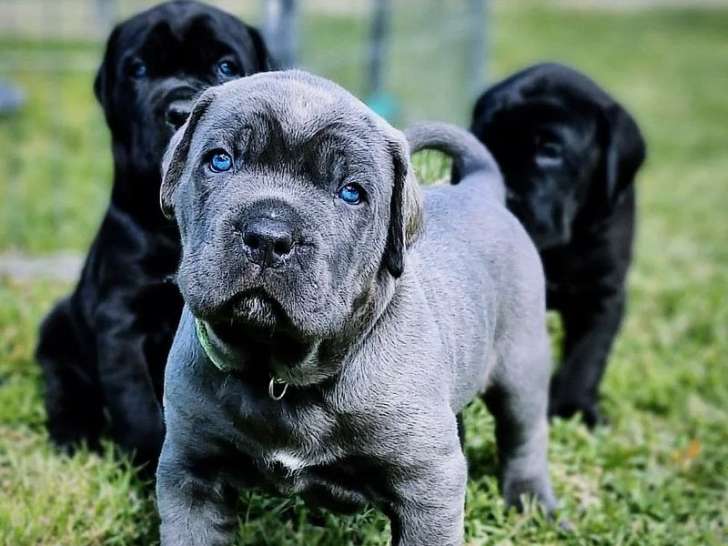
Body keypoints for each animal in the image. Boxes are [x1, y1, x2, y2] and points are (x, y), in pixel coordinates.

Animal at [35, 0, 272, 464]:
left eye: (225, 66)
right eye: (139, 69)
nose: (180, 112)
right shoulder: (122, 319)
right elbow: (138, 406)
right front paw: (148, 465)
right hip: (58, 333)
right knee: (66, 392)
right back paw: (75, 438)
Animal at [155, 70, 556, 540]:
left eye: (351, 193)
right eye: (219, 161)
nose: (269, 236)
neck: (280, 374)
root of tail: (480, 187)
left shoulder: (429, 485)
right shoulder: (190, 474)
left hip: (522, 366)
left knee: (524, 435)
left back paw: (534, 503)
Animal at [470, 63, 644, 424]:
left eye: (550, 151)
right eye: (482, 140)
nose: (501, 193)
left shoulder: (601, 295)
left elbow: (586, 357)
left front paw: (573, 408)